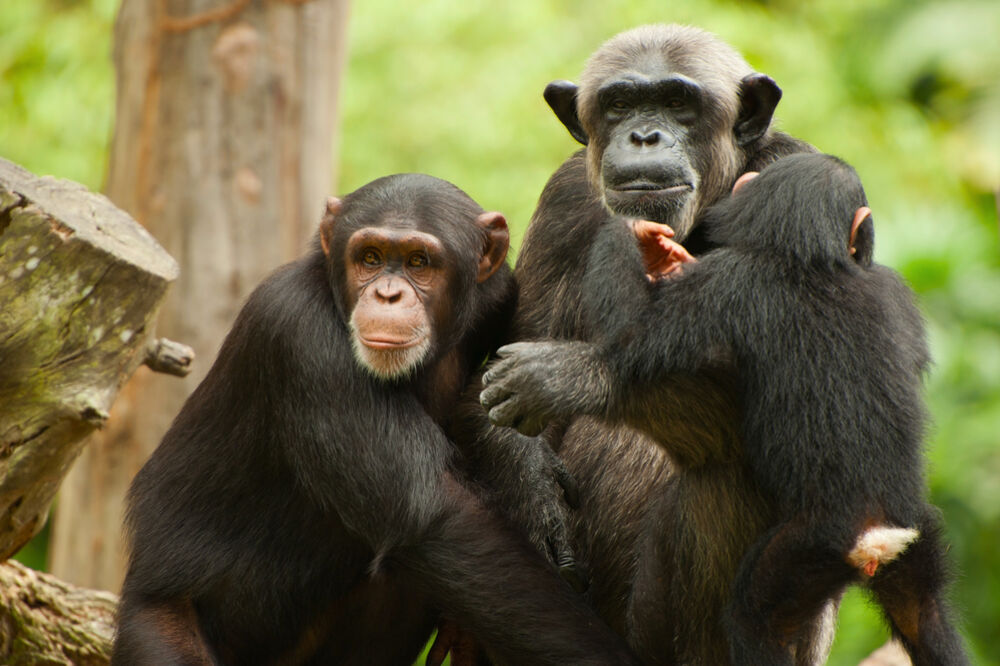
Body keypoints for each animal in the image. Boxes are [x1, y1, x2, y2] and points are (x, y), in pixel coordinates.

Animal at [111, 174, 640, 660]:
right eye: (368, 257)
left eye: (418, 261)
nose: (387, 294)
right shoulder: (301, 335)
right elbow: (436, 518)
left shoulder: (497, 292)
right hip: (154, 625)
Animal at [482, 152, 968, 664]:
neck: (811, 261)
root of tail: (876, 535)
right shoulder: (893, 292)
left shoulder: (724, 283)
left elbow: (636, 334)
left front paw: (631, 239)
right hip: (915, 545)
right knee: (923, 613)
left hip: (806, 550)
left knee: (755, 613)